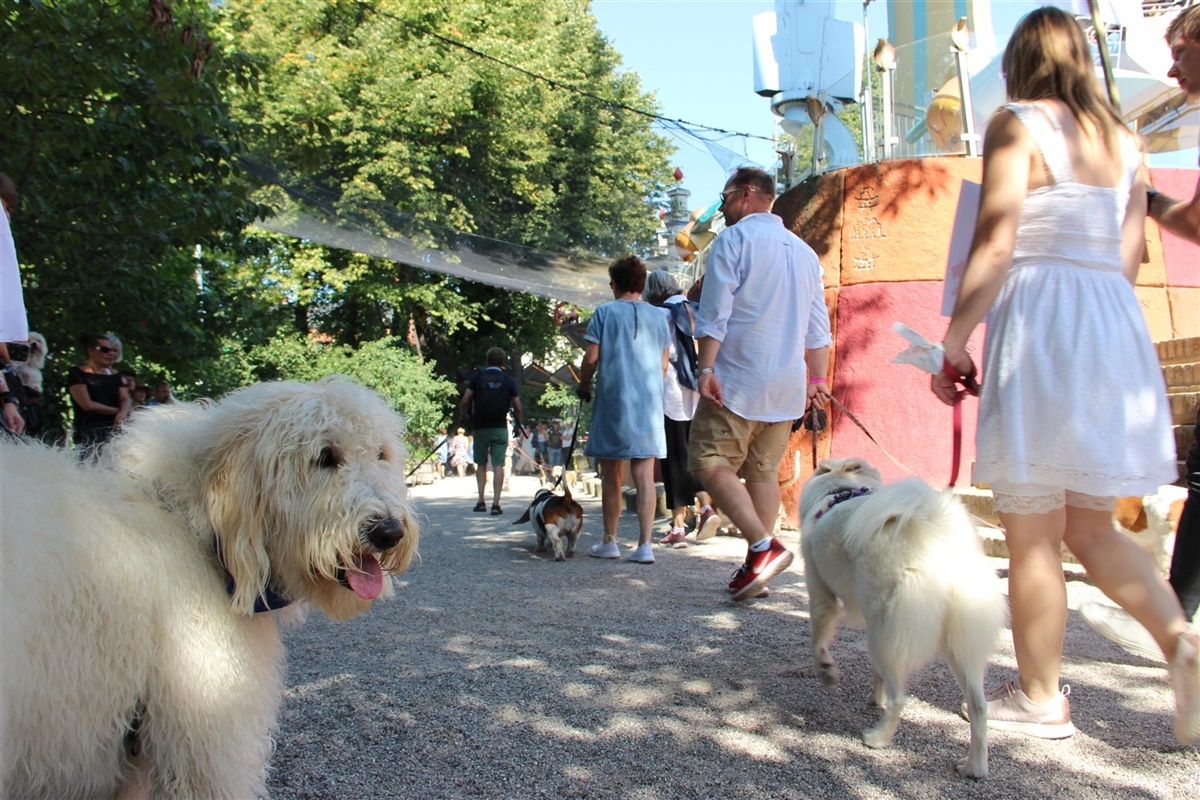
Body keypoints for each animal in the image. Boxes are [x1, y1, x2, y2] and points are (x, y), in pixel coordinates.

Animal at [801, 460, 1008, 777]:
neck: (840, 489)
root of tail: (936, 531)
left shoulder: (820, 594)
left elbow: (818, 641)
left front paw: (826, 670)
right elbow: (877, 674)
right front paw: (876, 697)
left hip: (885, 635)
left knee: (901, 698)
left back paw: (877, 738)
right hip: (955, 645)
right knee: (979, 706)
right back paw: (974, 766)